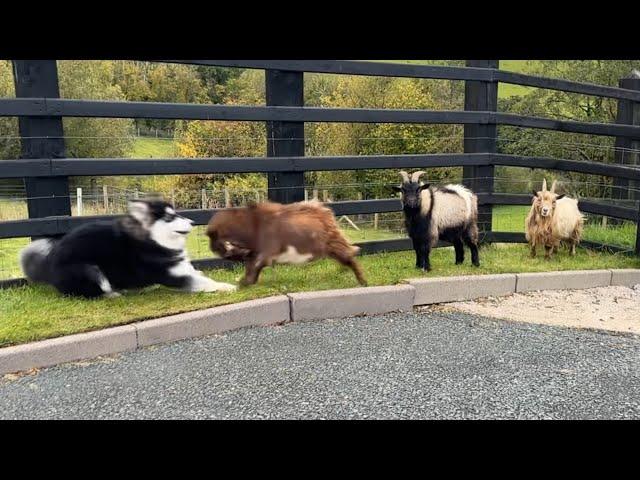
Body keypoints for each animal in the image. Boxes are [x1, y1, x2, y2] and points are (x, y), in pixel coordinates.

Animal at [20, 198, 236, 296]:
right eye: (169, 217)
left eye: (177, 213)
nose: (192, 222)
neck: (154, 240)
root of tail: (50, 260)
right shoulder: (174, 275)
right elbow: (204, 282)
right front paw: (225, 286)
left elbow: (199, 273)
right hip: (91, 270)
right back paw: (114, 294)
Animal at [205, 199, 364, 284]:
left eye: (215, 238)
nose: (213, 249)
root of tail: (325, 213)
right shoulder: (256, 252)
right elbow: (252, 265)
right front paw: (246, 281)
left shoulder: (267, 249)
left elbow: (257, 264)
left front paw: (244, 283)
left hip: (332, 242)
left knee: (349, 255)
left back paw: (362, 281)